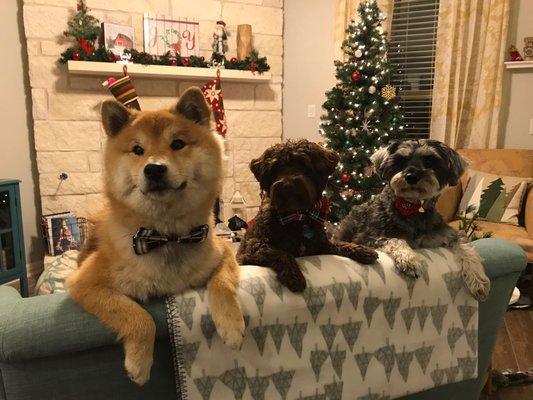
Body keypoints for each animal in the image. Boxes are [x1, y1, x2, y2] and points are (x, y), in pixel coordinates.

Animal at [67, 87, 244, 384]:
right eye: (138, 150)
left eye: (178, 144)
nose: (154, 168)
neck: (166, 235)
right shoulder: (85, 284)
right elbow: (138, 316)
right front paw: (139, 364)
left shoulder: (224, 253)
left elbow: (222, 284)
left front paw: (231, 326)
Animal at [235, 139, 376, 292]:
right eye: (275, 168)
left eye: (303, 164)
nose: (287, 185)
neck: (298, 216)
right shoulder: (250, 250)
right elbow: (279, 252)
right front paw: (294, 276)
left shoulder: (320, 246)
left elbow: (340, 244)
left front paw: (363, 251)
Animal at [336, 139, 490, 302]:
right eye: (401, 160)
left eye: (429, 161)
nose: (411, 176)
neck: (412, 207)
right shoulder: (368, 238)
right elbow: (396, 239)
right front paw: (410, 259)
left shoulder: (447, 234)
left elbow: (467, 249)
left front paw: (479, 281)